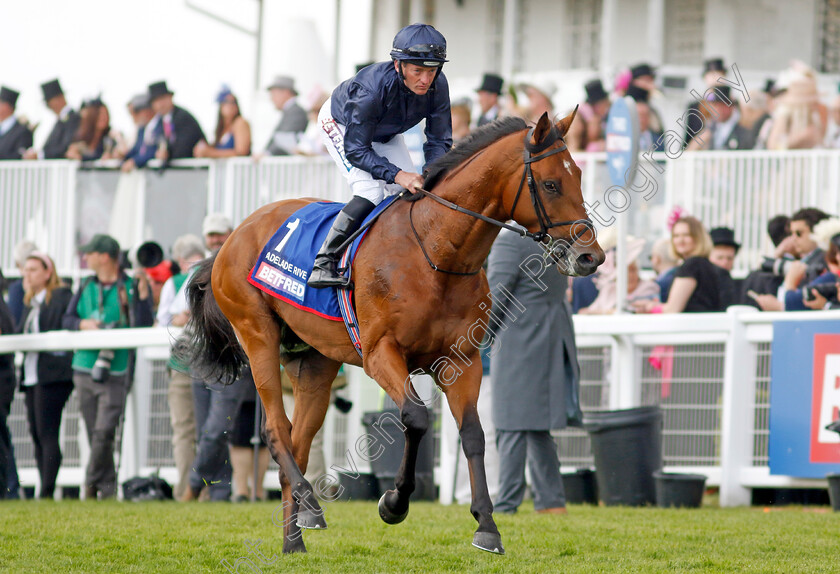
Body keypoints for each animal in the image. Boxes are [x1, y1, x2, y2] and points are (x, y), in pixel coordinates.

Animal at [182, 110, 604, 556]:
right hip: (257, 334)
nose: (591, 256)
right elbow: (416, 418)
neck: (436, 252)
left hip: (315, 362)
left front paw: (487, 526)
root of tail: (230, 239)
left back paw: (294, 540)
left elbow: (473, 434)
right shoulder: (380, 353)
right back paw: (311, 506)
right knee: (276, 431)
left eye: (578, 176)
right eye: (551, 183)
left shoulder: (462, 360)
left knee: (298, 442)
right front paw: (394, 503)